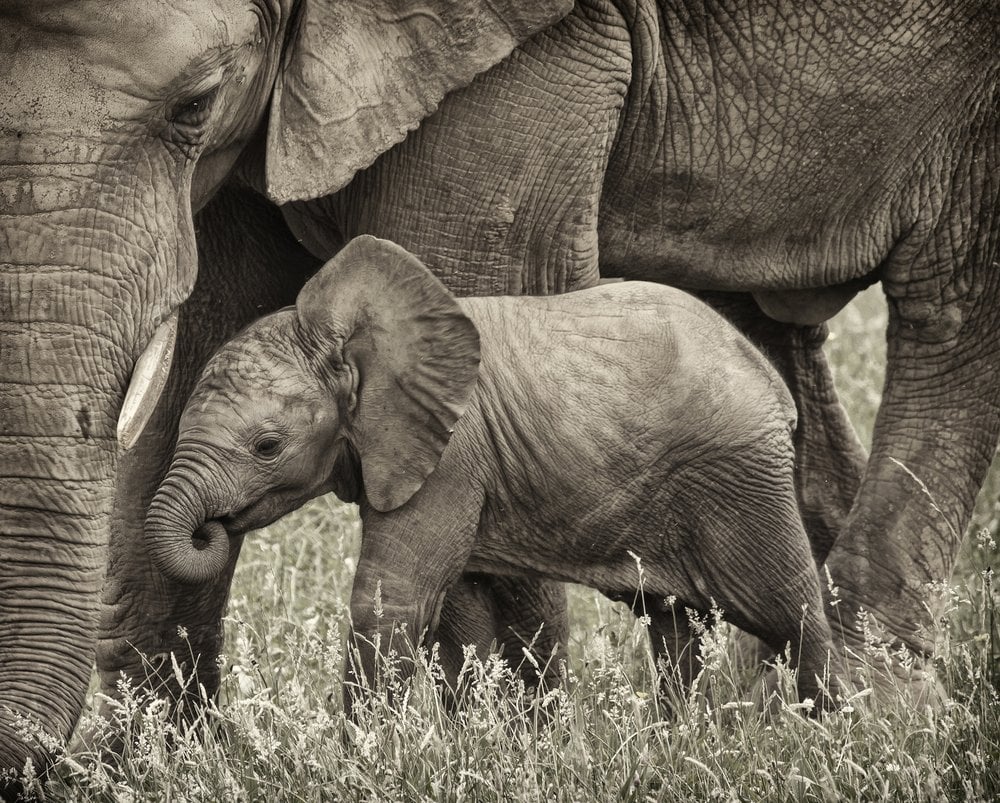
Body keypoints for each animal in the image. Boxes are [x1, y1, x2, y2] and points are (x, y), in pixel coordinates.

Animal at [145, 236, 840, 712]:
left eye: (266, 447)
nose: (211, 529)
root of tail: (769, 381)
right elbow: (460, 613)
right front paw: (471, 737)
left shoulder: (451, 456)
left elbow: (393, 597)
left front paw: (363, 753)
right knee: (673, 623)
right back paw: (678, 733)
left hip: (740, 474)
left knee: (789, 613)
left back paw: (820, 730)